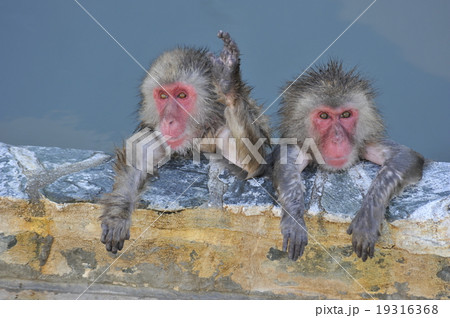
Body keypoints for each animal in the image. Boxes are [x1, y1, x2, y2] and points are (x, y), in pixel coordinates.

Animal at [101, 31, 270, 253]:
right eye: (163, 96)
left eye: (181, 95)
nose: (168, 120)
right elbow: (138, 156)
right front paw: (118, 212)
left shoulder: (223, 133)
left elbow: (253, 166)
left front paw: (228, 86)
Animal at [272, 60, 424, 262]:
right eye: (324, 116)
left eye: (345, 115)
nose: (337, 139)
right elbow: (285, 162)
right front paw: (294, 219)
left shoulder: (364, 141)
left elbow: (404, 157)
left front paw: (367, 218)